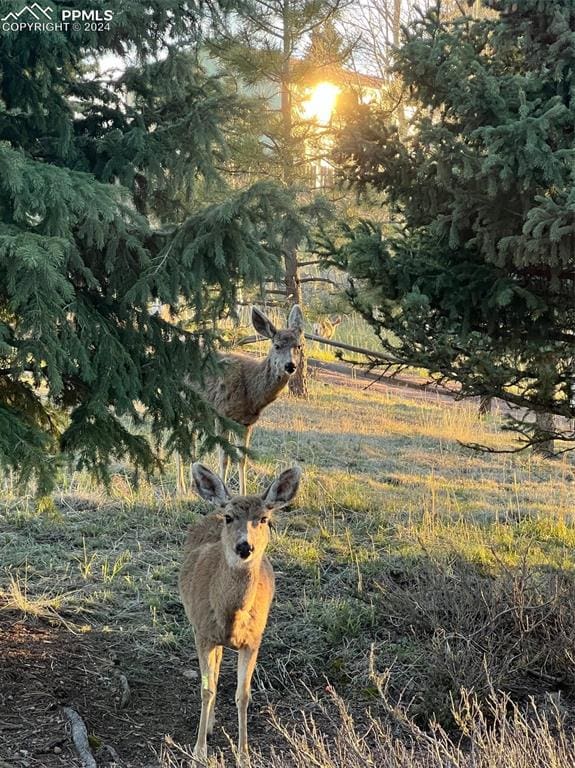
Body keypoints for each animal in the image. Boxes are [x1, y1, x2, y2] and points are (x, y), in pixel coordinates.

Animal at [180, 462, 302, 760]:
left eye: (265, 519)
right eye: (229, 518)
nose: (244, 546)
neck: (230, 615)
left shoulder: (254, 639)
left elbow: (243, 695)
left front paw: (244, 754)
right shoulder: (203, 633)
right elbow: (206, 689)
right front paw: (199, 750)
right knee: (213, 674)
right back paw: (208, 727)